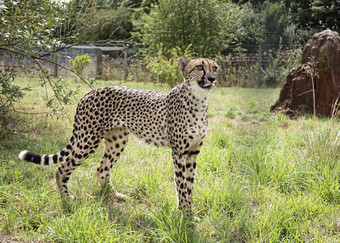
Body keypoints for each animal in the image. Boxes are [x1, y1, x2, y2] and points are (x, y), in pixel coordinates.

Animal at [18, 56, 219, 211]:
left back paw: (114, 195)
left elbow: (190, 184)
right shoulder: (179, 153)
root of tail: (90, 92)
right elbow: (182, 185)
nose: (212, 78)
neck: (198, 101)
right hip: (88, 139)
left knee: (101, 169)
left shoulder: (193, 152)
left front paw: (189, 212)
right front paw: (185, 215)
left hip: (117, 140)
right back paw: (66, 199)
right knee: (62, 168)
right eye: (199, 67)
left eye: (215, 68)